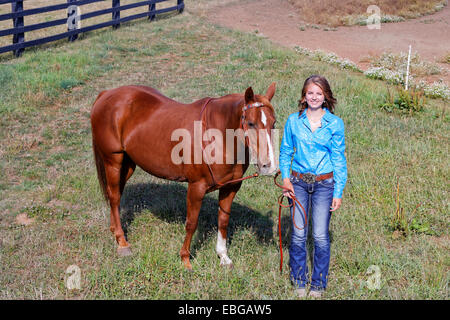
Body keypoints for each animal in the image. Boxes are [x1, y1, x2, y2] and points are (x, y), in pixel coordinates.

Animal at [89, 83, 276, 270]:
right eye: (250, 123)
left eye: (274, 123)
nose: (268, 166)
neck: (217, 138)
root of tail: (106, 94)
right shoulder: (196, 187)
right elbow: (191, 223)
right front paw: (185, 259)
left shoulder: (231, 187)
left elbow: (223, 220)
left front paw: (223, 256)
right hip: (113, 161)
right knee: (114, 197)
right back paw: (122, 242)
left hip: (127, 165)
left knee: (115, 194)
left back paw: (114, 230)